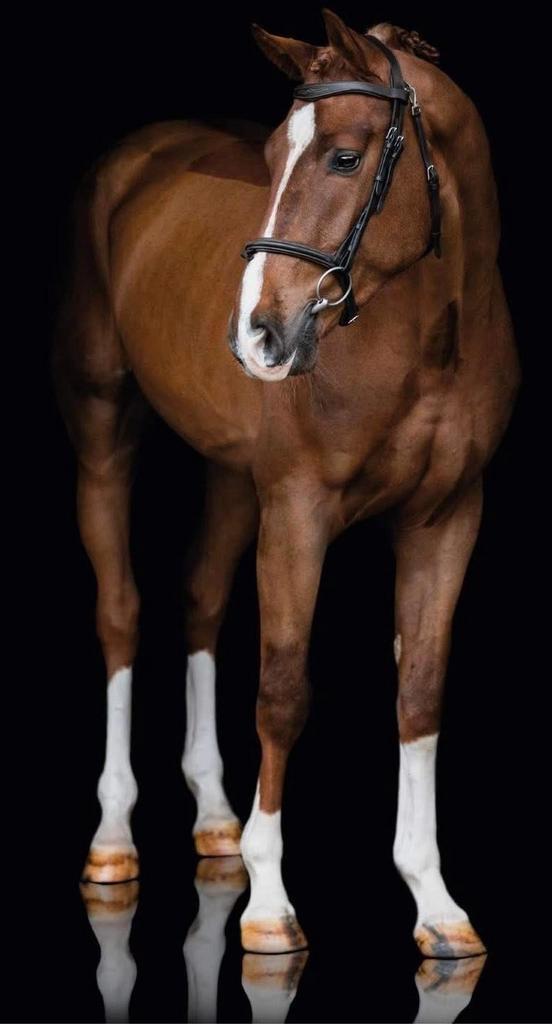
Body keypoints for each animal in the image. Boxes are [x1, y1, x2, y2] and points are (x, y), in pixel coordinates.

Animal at [52, 9, 520, 959]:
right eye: (270, 157)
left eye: (343, 156)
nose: (257, 335)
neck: (427, 343)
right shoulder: (299, 513)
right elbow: (282, 689)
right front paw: (268, 904)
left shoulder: (447, 516)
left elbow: (420, 690)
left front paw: (435, 903)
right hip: (104, 432)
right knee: (120, 614)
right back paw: (114, 841)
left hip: (237, 482)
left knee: (200, 599)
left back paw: (215, 821)